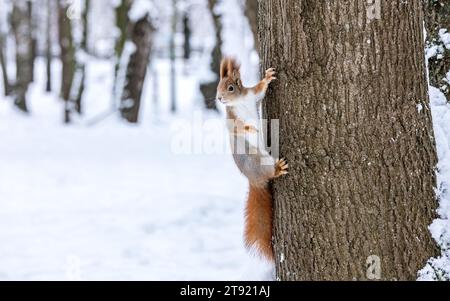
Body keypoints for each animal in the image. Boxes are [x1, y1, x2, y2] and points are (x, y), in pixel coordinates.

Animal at [217, 57, 288, 258]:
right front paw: (251, 129)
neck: (239, 101)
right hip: (259, 160)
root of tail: (254, 180)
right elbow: (238, 128)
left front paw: (268, 76)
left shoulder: (252, 96)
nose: (219, 98)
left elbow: (260, 89)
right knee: (270, 172)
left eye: (230, 87)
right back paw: (278, 168)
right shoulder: (232, 119)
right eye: (218, 87)